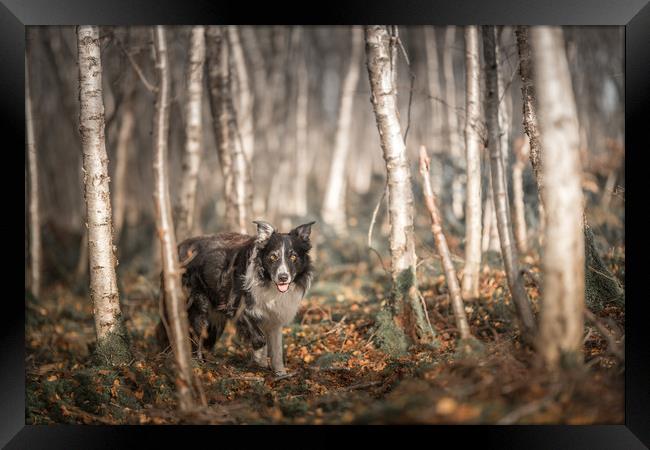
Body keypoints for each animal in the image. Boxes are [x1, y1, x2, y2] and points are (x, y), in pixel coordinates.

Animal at [154, 221, 312, 376]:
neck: (266, 281)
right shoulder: (236, 308)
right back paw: (198, 366)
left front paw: (280, 373)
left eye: (293, 257)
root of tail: (178, 248)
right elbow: (260, 339)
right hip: (198, 306)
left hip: (216, 320)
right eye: (273, 257)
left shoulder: (274, 318)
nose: (283, 278)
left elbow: (277, 349)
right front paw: (260, 362)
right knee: (195, 335)